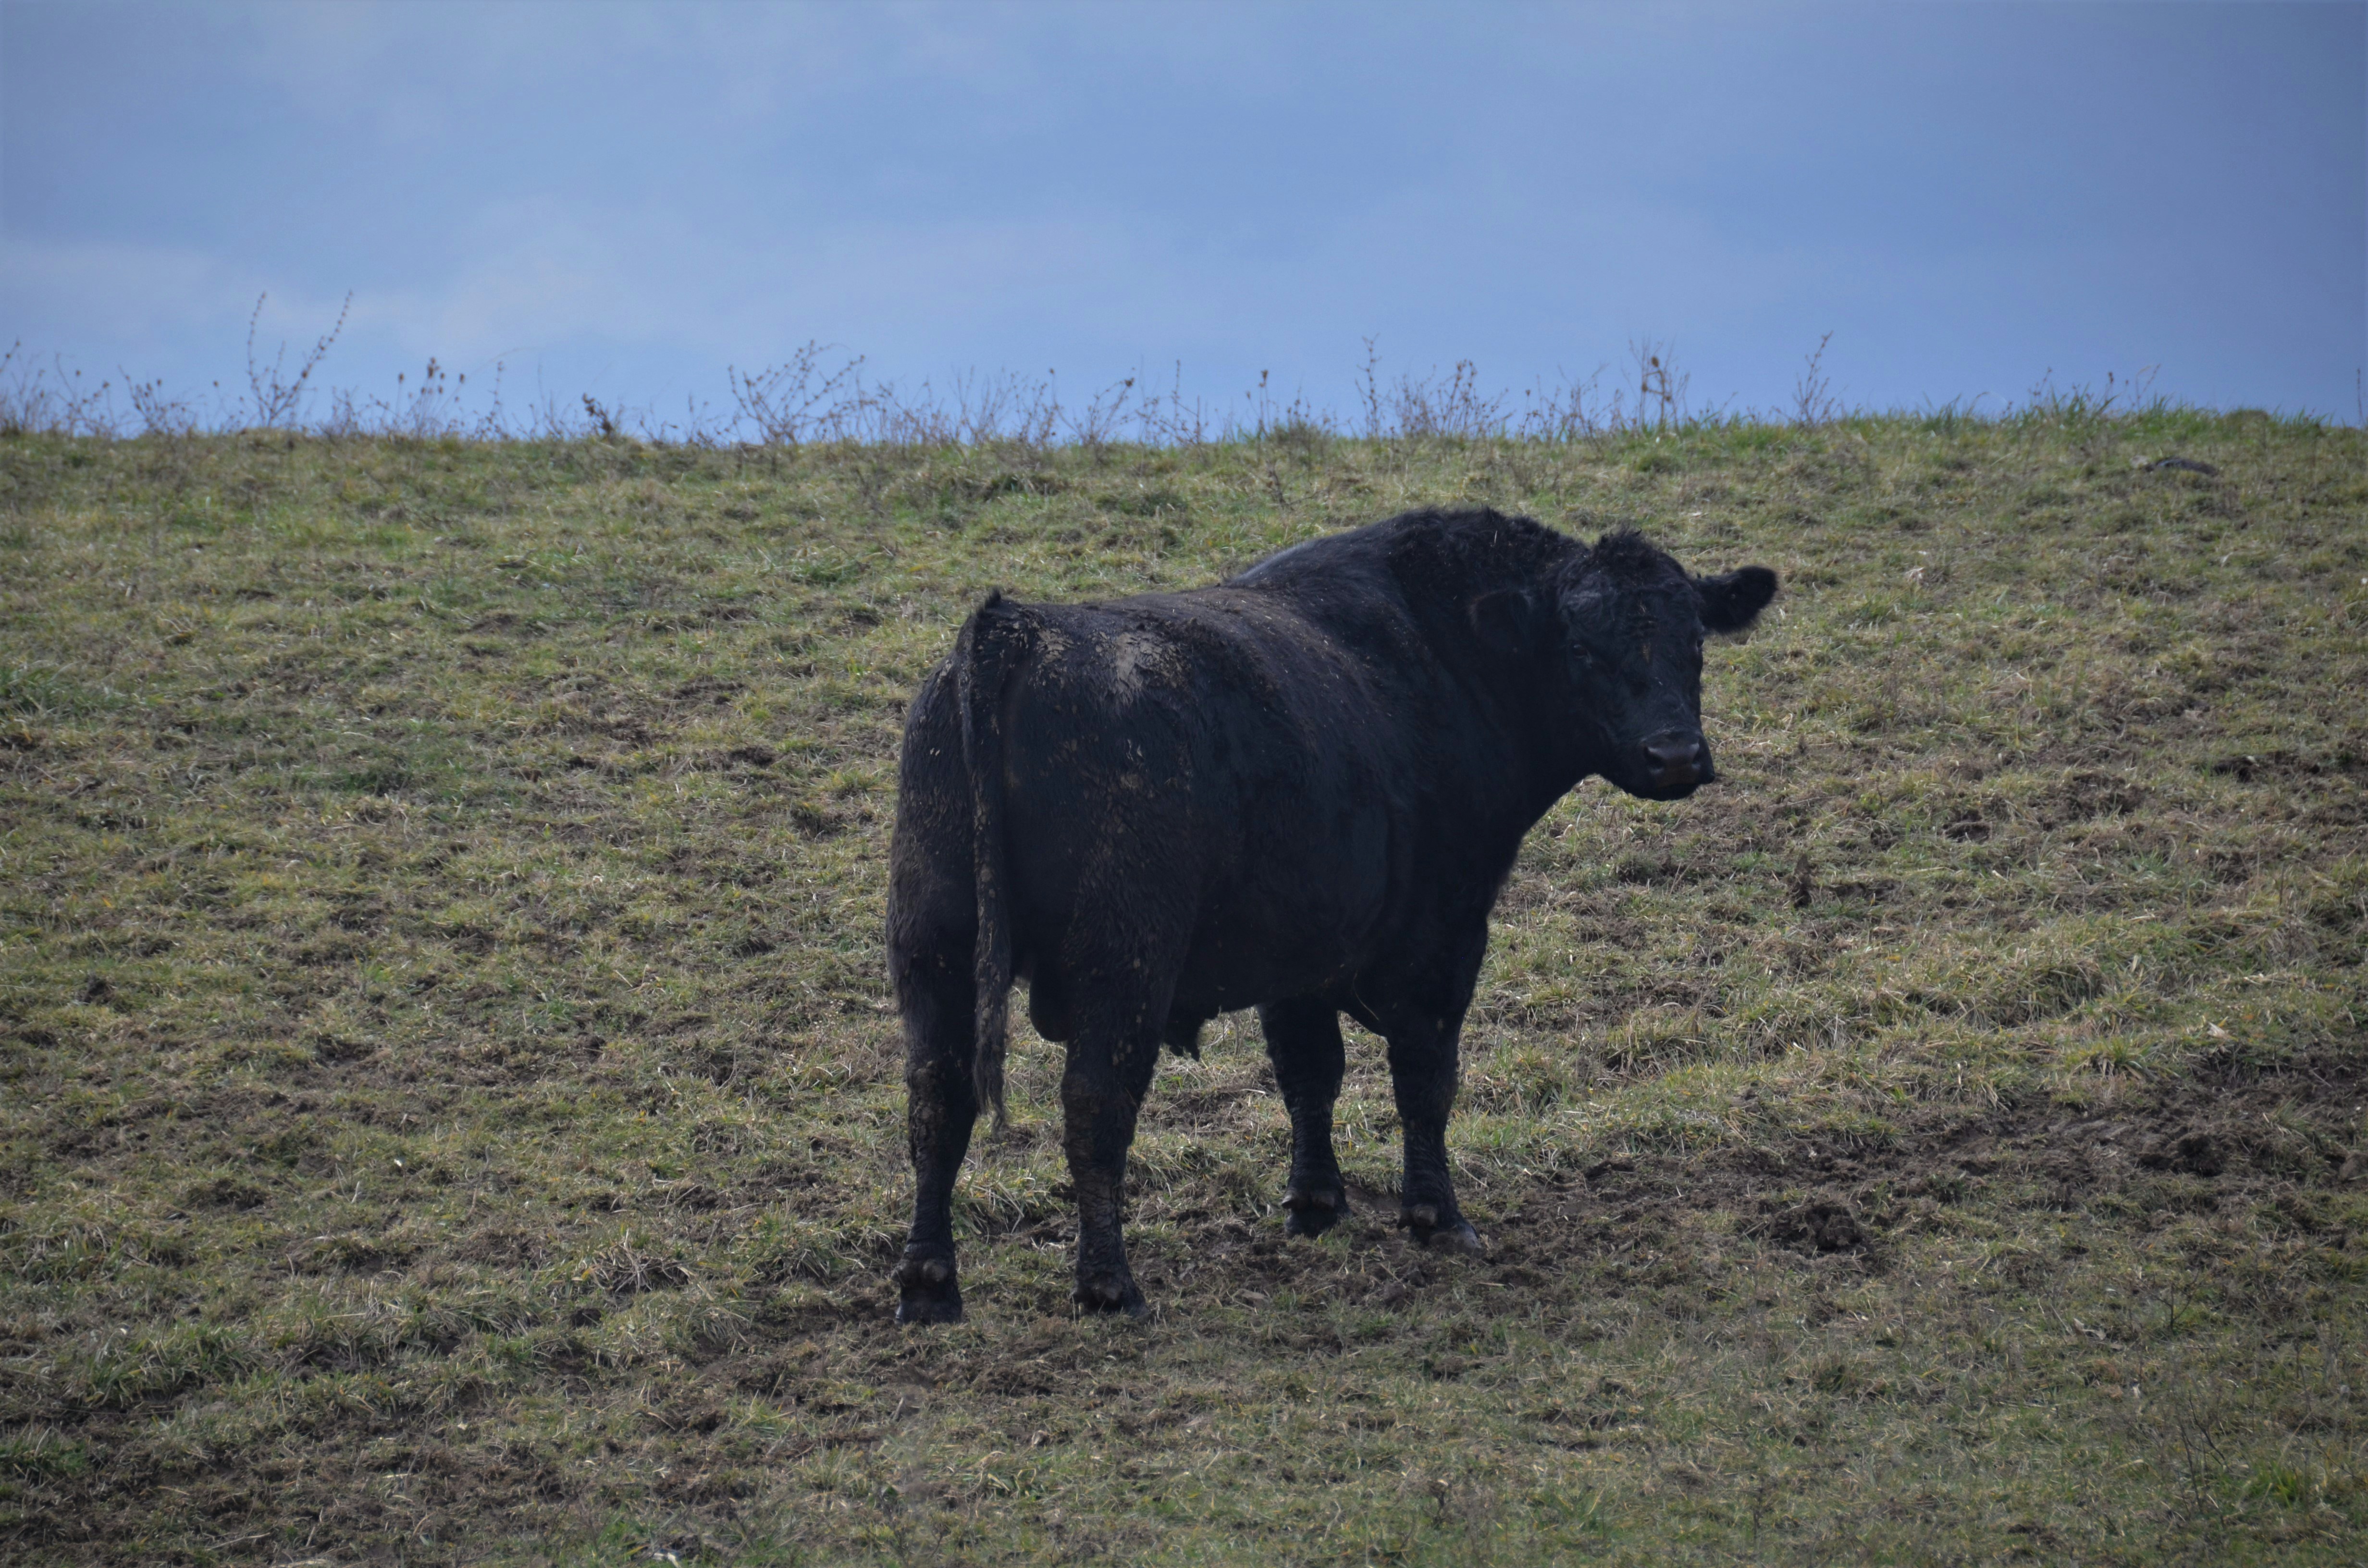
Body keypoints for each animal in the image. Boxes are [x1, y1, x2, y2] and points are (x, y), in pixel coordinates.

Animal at [886, 506, 1775, 1322]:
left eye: (1695, 643)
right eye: (1584, 649)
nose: (1675, 755)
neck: (1444, 656)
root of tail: (1017, 629)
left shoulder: (1302, 946)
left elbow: (1308, 1069)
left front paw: (1316, 1203)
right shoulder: (1444, 936)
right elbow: (1424, 1076)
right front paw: (1435, 1214)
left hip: (933, 949)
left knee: (938, 1098)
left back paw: (930, 1283)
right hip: (1122, 958)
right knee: (1094, 1103)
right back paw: (1109, 1283)